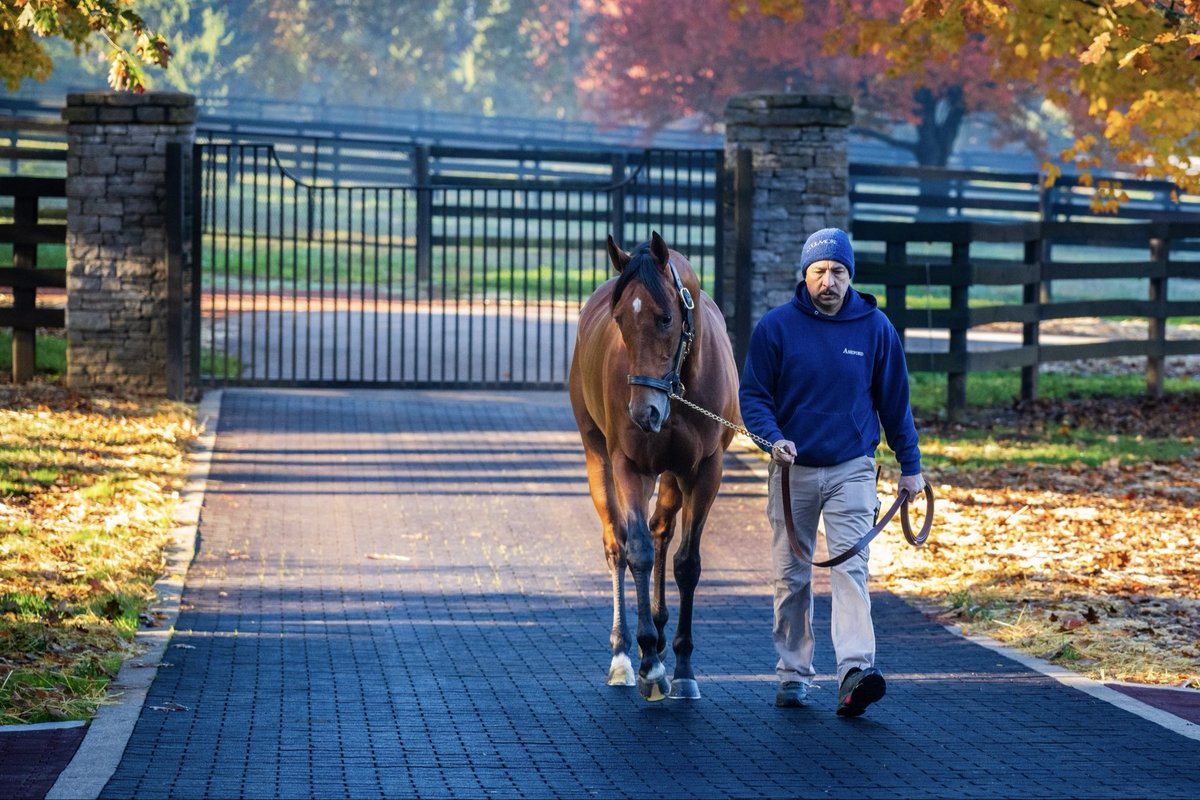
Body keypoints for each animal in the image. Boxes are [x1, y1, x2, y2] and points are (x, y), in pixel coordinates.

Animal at [568, 231, 739, 701]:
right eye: (620, 320)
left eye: (666, 319)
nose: (643, 412)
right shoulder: (630, 466)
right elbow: (638, 552)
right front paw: (648, 663)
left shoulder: (704, 473)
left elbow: (686, 563)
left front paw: (682, 666)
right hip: (598, 458)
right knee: (617, 543)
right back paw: (625, 654)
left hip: (674, 478)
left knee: (663, 530)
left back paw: (662, 638)